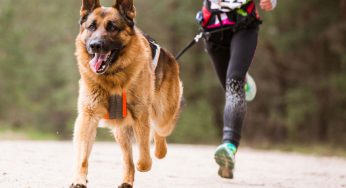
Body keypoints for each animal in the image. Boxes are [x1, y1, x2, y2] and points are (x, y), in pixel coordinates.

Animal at [71, 0, 184, 187]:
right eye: (91, 26)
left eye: (112, 27)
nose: (95, 45)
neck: (113, 78)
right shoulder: (88, 117)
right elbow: (82, 157)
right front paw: (79, 180)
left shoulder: (140, 116)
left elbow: (144, 159)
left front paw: (143, 163)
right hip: (120, 131)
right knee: (127, 158)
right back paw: (127, 180)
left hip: (163, 117)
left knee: (159, 134)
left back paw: (159, 151)